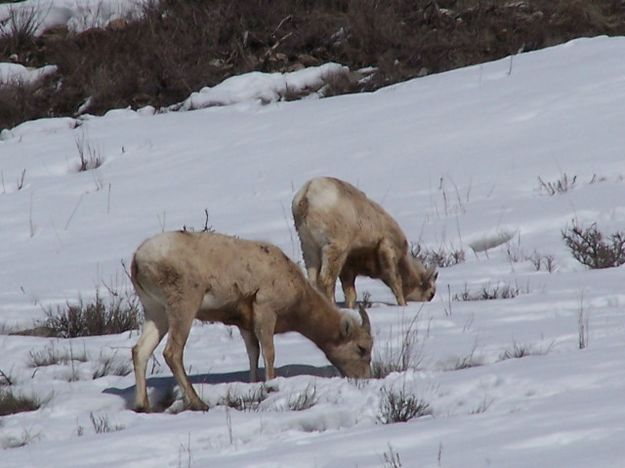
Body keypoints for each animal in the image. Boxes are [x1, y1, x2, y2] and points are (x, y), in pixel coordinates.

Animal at [130, 232, 370, 412]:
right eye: (361, 348)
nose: (364, 379)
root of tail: (138, 259)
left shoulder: (245, 325)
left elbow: (253, 353)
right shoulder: (265, 311)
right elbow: (269, 353)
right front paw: (271, 385)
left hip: (156, 313)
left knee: (139, 350)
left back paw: (143, 406)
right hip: (184, 307)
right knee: (172, 353)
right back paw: (199, 403)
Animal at [292, 177, 434, 308]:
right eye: (431, 293)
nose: (430, 299)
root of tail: (307, 195)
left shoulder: (348, 268)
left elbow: (350, 293)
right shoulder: (387, 250)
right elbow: (396, 282)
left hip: (309, 248)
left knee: (313, 281)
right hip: (334, 249)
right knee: (326, 280)